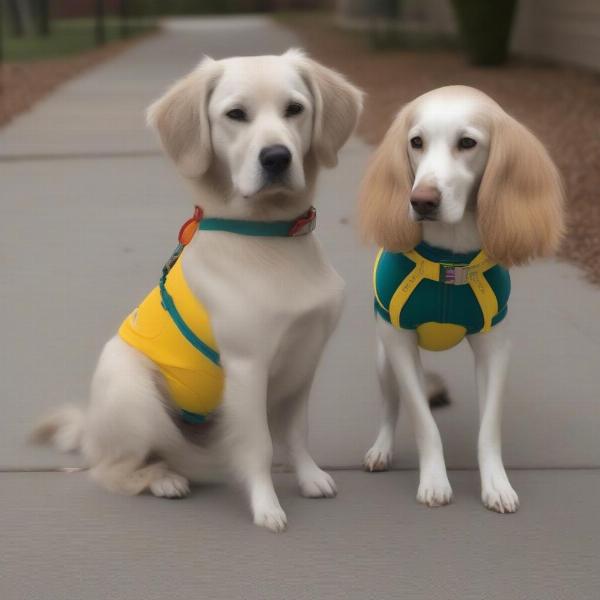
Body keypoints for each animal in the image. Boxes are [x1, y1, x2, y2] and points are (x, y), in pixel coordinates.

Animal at [35, 49, 364, 532]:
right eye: (236, 114)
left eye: (294, 109)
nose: (277, 157)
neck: (270, 240)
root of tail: (92, 427)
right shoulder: (247, 366)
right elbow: (260, 446)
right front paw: (266, 506)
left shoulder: (304, 361)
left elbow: (295, 433)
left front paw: (309, 477)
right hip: (135, 392)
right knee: (111, 469)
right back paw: (163, 479)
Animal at [358, 86, 564, 512]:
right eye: (416, 142)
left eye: (467, 143)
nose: (421, 200)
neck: (449, 261)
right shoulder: (399, 342)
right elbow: (423, 421)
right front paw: (435, 481)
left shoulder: (494, 347)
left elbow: (489, 429)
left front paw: (496, 484)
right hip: (384, 359)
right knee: (391, 407)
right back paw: (381, 449)